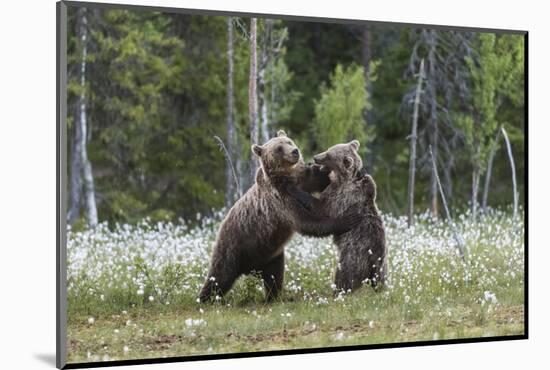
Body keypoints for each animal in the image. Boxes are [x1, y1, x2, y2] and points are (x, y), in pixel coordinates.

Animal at [294, 140, 388, 294]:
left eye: (328, 155)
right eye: (328, 149)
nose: (315, 157)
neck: (343, 179)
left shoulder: (342, 198)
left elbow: (321, 209)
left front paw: (296, 191)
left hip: (354, 254)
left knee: (344, 275)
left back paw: (338, 292)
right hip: (383, 266)